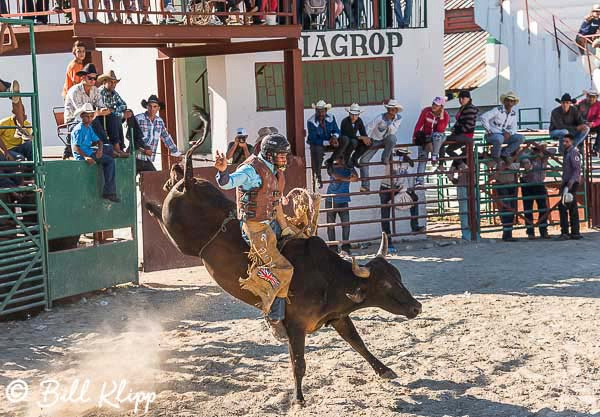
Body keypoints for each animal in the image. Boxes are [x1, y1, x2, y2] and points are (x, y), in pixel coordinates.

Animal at [146, 142, 422, 404]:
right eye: (385, 285)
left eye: (399, 278)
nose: (417, 307)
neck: (329, 279)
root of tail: (190, 183)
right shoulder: (296, 327)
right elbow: (298, 364)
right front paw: (298, 397)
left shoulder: (338, 317)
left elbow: (358, 343)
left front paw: (384, 370)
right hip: (181, 239)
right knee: (162, 220)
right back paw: (150, 203)